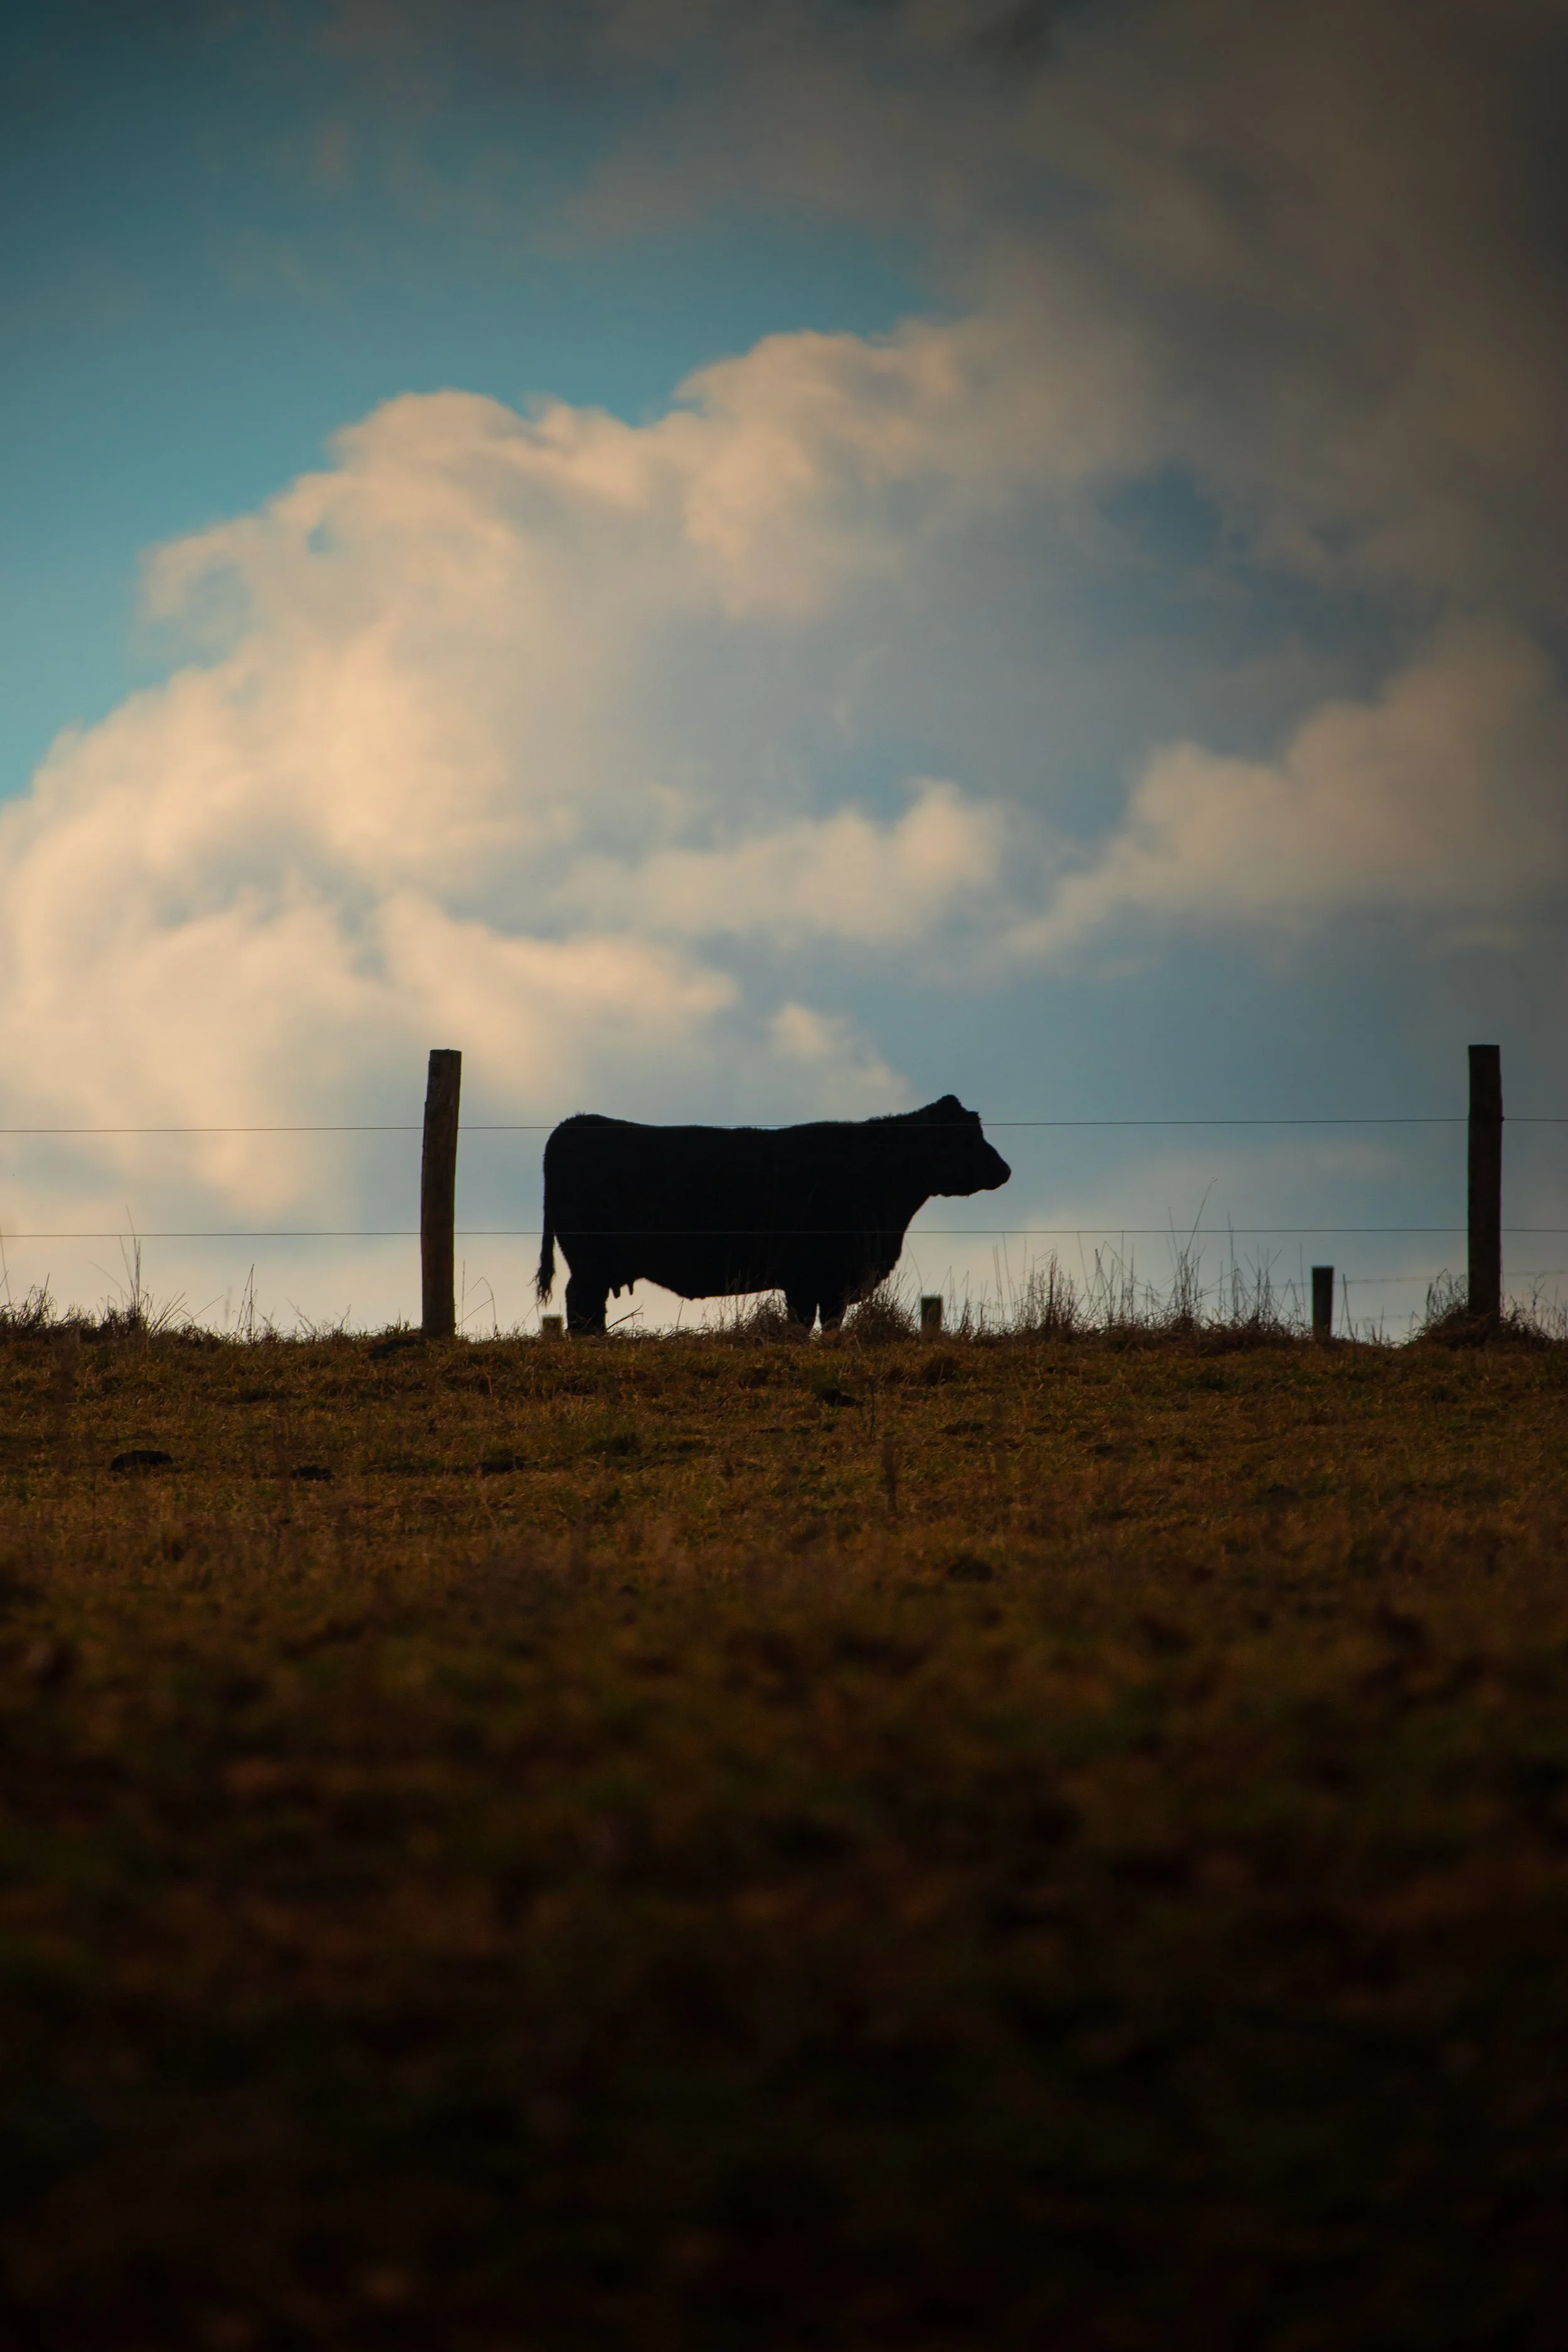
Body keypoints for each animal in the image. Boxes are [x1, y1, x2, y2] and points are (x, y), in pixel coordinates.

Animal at [535, 1095, 1011, 1335]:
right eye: (967, 1137)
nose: (1004, 1170)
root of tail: (576, 1123)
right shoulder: (821, 1278)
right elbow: (815, 1324)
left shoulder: (815, 1280)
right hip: (589, 1261)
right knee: (581, 1307)